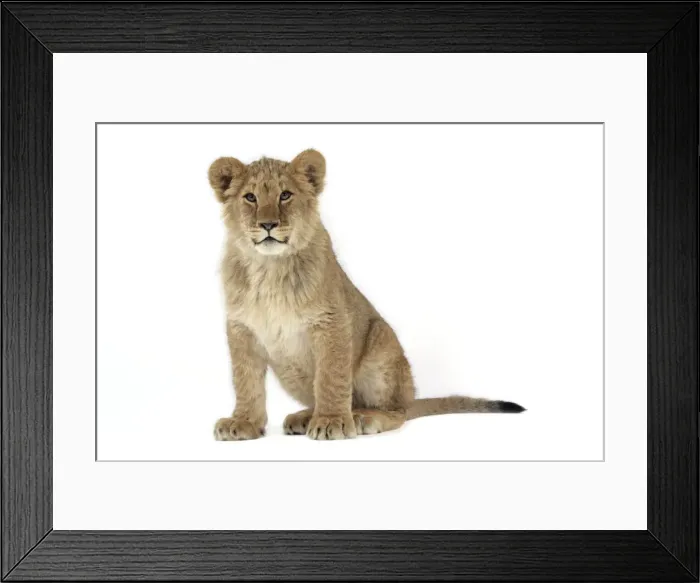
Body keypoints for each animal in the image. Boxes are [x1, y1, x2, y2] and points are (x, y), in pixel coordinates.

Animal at [208, 149, 524, 440]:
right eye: (250, 198)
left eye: (285, 195)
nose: (268, 224)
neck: (269, 267)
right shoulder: (241, 328)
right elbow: (246, 380)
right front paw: (243, 422)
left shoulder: (332, 321)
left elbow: (331, 377)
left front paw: (332, 422)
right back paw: (306, 417)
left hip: (381, 342)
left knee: (396, 411)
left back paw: (362, 418)